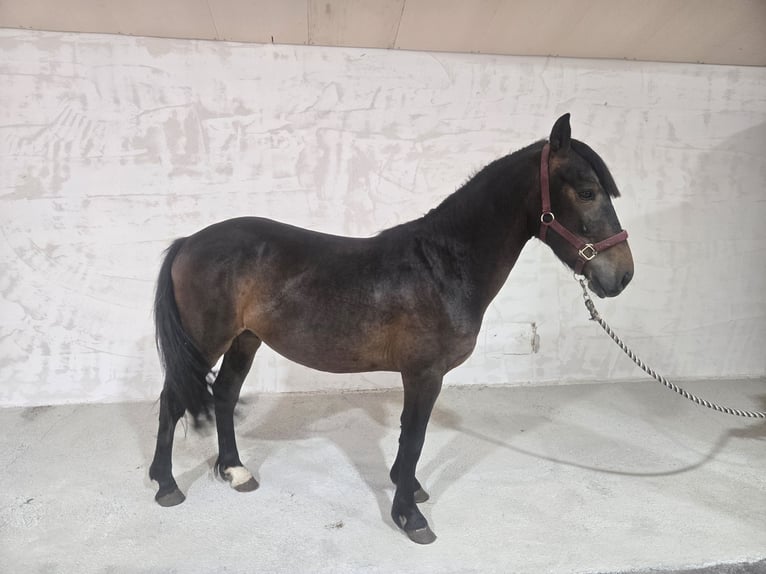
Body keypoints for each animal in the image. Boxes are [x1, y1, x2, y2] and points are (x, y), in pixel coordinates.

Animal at [149, 114, 633, 544]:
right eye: (587, 192)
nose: (623, 276)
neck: (442, 265)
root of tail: (187, 243)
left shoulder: (419, 375)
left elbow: (408, 435)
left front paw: (409, 488)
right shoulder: (424, 373)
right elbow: (414, 435)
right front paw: (410, 517)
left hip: (245, 340)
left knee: (224, 394)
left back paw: (235, 470)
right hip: (205, 340)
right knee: (172, 398)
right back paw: (166, 485)